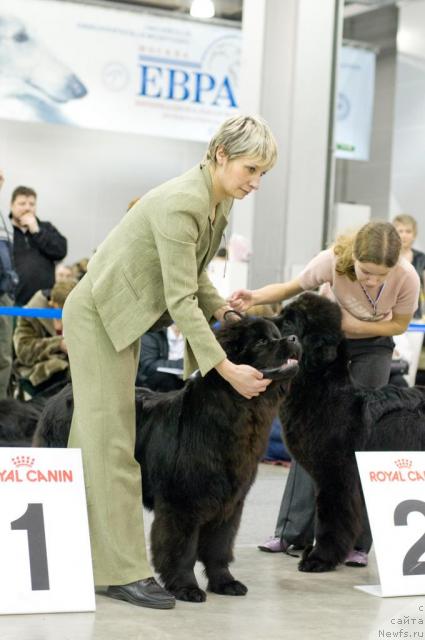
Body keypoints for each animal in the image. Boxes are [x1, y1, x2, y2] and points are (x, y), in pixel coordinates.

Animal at [33, 312, 300, 604]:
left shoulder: (230, 503)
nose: (294, 337)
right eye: (262, 342)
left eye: (277, 335)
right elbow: (181, 550)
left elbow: (219, 546)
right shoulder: (181, 503)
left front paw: (225, 582)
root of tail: (61, 393)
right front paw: (186, 588)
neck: (236, 413)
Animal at [274, 292, 424, 572]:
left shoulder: (336, 475)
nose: (255, 322)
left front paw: (319, 558)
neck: (323, 391)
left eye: (288, 323)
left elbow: (331, 518)